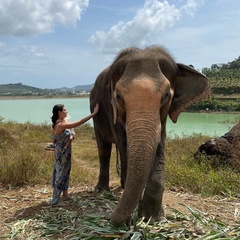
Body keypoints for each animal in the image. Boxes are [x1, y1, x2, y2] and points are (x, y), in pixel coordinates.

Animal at [89, 45, 211, 227]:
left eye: (166, 95)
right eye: (118, 96)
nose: (108, 217)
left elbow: (159, 145)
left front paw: (152, 217)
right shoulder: (112, 110)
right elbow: (124, 144)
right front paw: (135, 216)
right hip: (96, 117)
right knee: (104, 149)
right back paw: (102, 189)